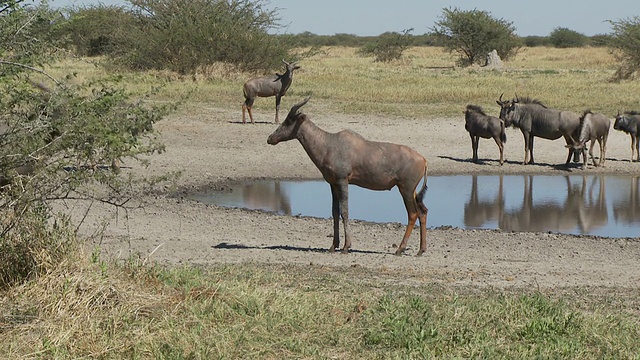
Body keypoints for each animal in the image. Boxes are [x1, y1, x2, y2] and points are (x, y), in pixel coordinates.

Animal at [264, 97, 430, 256]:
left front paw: (346, 246)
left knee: (413, 213)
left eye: (288, 121)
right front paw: (333, 246)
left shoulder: (342, 181)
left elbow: (345, 211)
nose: (270, 138)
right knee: (423, 211)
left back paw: (400, 249)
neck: (330, 143)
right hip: (412, 191)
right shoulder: (332, 184)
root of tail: (423, 159)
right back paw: (420, 250)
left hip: (405, 189)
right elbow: (335, 212)